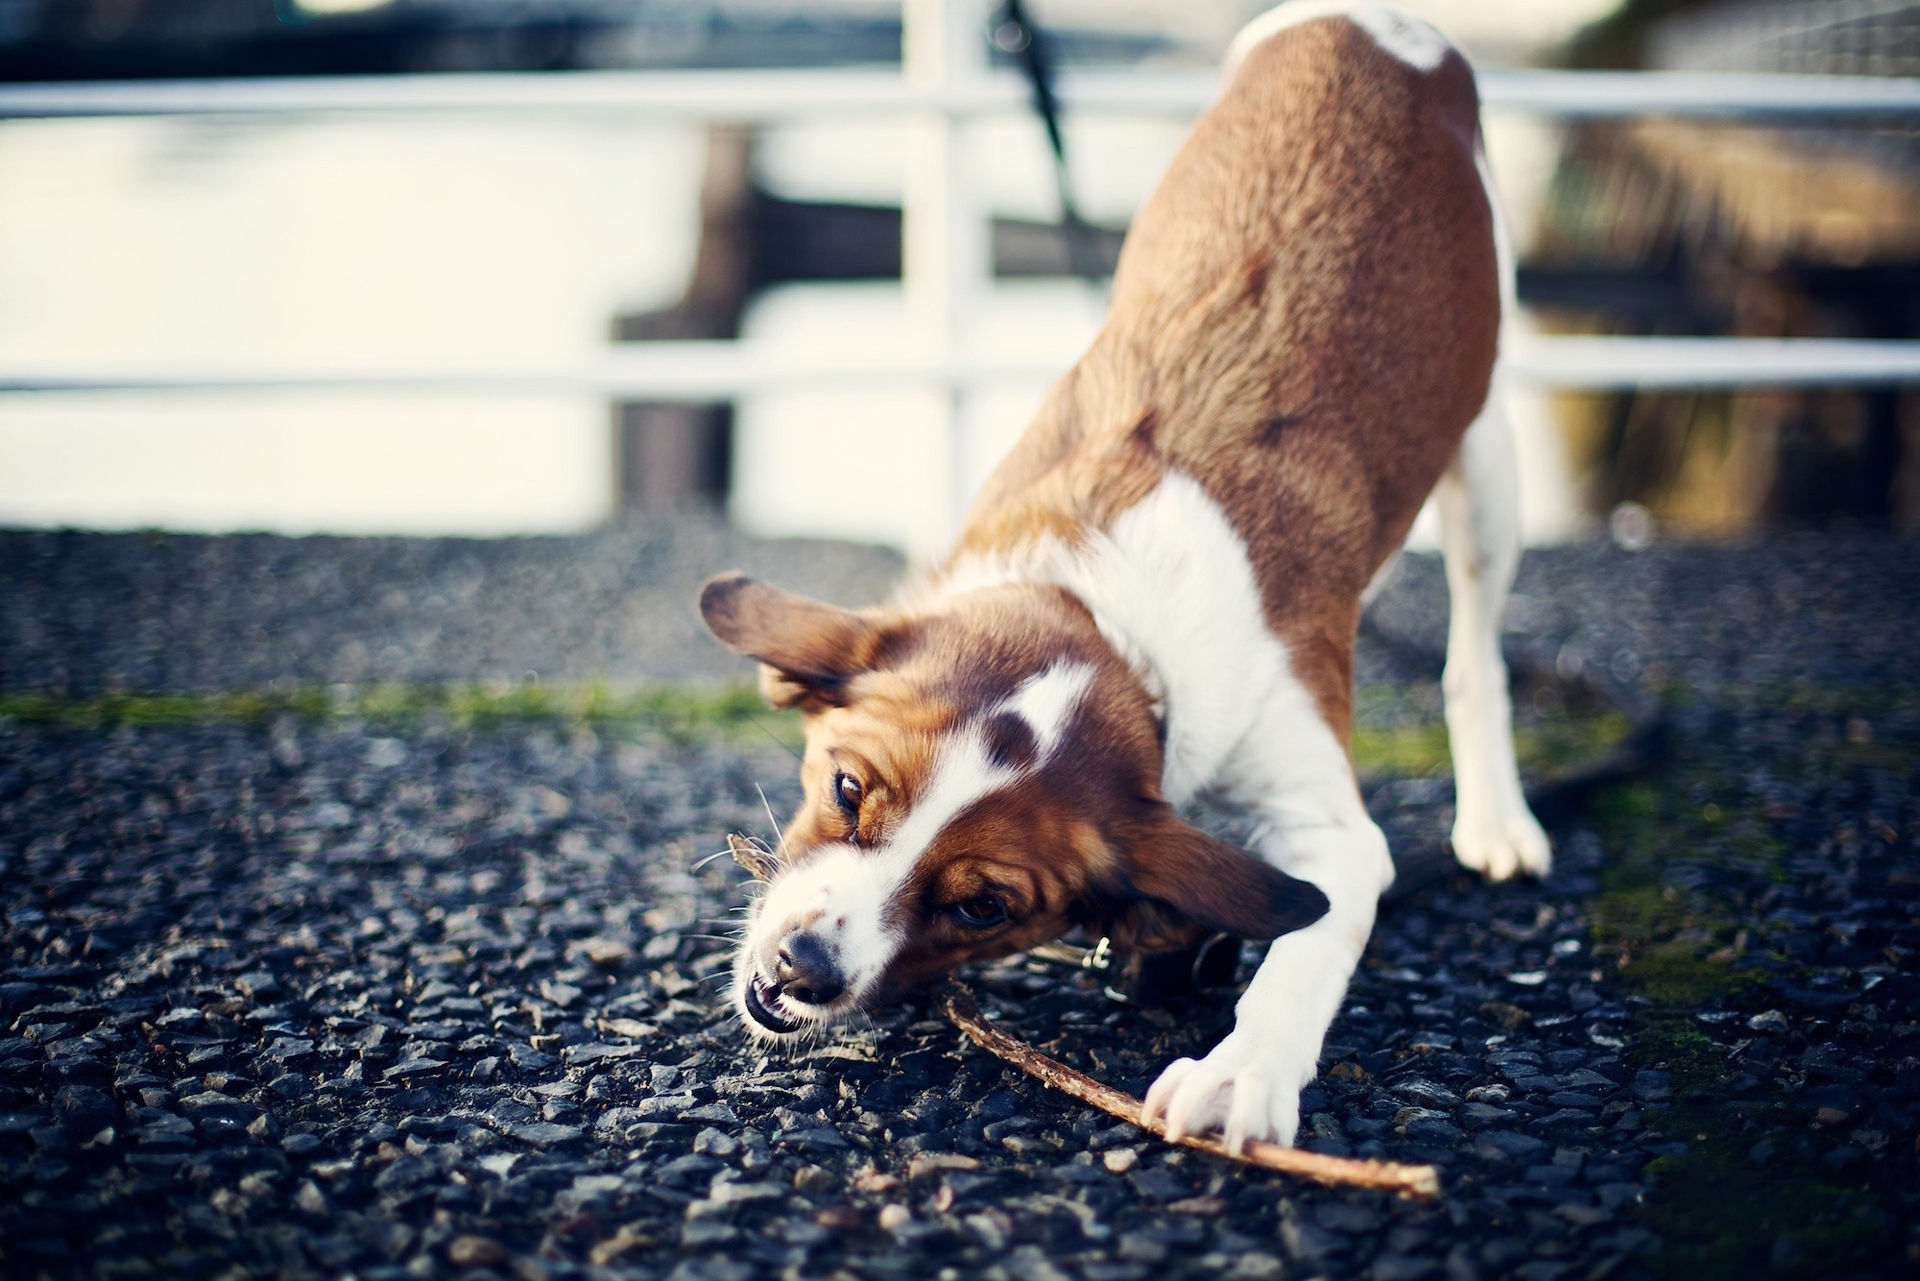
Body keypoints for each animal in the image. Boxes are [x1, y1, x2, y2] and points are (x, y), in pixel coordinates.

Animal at [698, 0, 1551, 1160]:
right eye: (844, 791)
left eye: (982, 908)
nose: (803, 969)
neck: (1116, 618)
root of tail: (1371, 26)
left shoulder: (1329, 822)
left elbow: (1308, 938)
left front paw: (1243, 1071)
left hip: (1493, 455)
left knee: (1475, 652)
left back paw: (1498, 817)